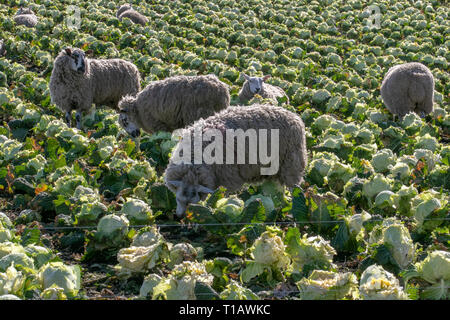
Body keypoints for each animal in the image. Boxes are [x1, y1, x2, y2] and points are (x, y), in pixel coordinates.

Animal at [163, 105, 308, 218]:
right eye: (177, 199)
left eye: (192, 204)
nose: (179, 217)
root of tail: (293, 116)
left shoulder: (229, 177)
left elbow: (225, 195)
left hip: (291, 163)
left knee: (294, 187)